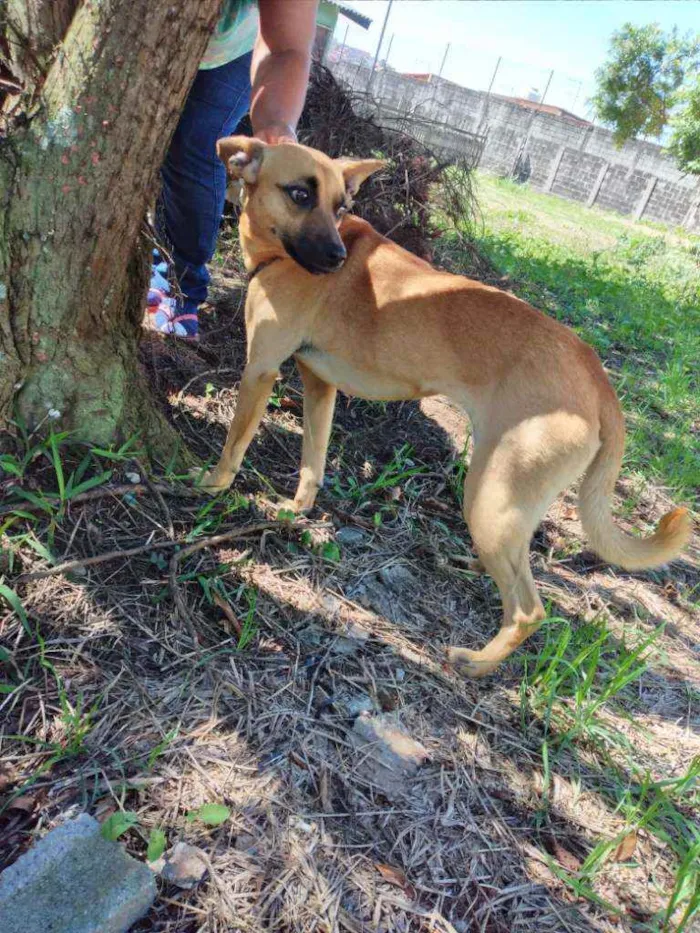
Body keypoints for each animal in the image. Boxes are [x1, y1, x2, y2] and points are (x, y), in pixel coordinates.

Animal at [202, 137, 688, 676]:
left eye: (340, 206)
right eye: (300, 195)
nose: (336, 257)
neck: (279, 255)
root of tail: (598, 378)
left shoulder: (260, 371)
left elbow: (233, 447)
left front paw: (208, 485)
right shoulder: (319, 386)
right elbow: (313, 462)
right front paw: (296, 510)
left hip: (488, 493)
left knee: (529, 609)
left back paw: (476, 662)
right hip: (506, 503)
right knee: (520, 560)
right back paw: (476, 567)